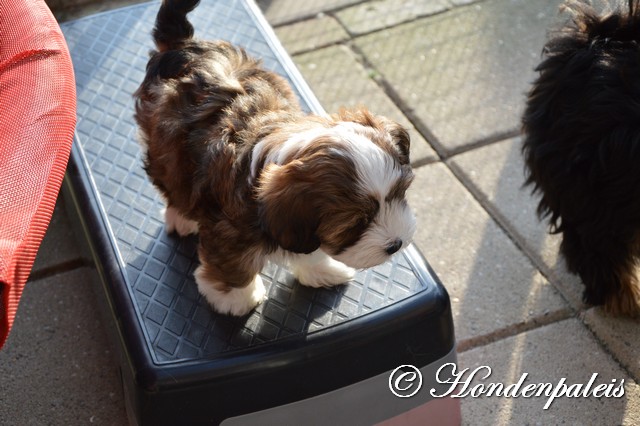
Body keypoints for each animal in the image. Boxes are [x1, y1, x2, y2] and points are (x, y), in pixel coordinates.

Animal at [133, 0, 418, 314]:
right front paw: (235, 298)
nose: (395, 244)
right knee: (172, 182)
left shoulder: (301, 228)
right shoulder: (229, 232)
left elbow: (310, 248)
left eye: (400, 194)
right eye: (357, 223)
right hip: (166, 147)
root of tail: (183, 46)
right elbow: (232, 264)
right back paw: (182, 217)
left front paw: (321, 270)